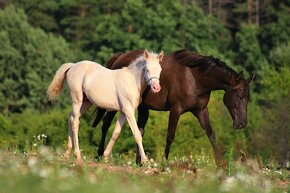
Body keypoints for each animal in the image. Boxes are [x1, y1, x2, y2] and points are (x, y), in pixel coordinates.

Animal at [92, 49, 254, 167]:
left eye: (248, 98)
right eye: (239, 96)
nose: (241, 123)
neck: (195, 78)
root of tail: (120, 57)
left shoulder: (201, 110)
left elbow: (211, 134)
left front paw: (220, 164)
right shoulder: (176, 110)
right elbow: (170, 136)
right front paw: (165, 162)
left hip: (143, 108)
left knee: (140, 130)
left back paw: (139, 162)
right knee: (105, 125)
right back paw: (99, 155)